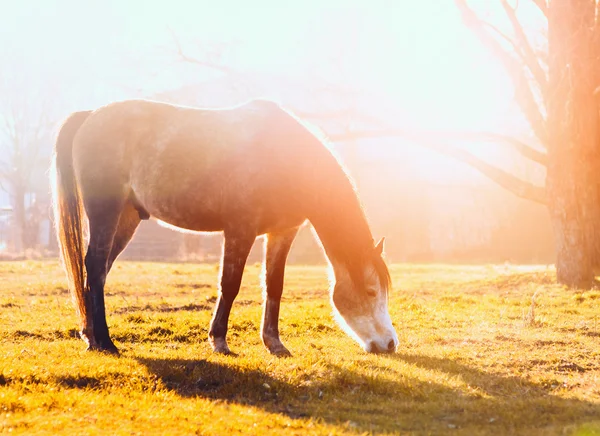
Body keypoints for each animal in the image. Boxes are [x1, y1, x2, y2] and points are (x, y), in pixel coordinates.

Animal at [52, 99, 398, 358]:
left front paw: (274, 344)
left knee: (97, 270)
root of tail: (91, 116)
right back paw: (106, 342)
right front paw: (219, 340)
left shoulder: (282, 232)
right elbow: (230, 285)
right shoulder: (239, 230)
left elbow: (274, 286)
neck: (284, 157)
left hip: (127, 218)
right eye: (370, 291)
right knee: (96, 266)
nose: (390, 344)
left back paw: (91, 337)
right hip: (105, 212)